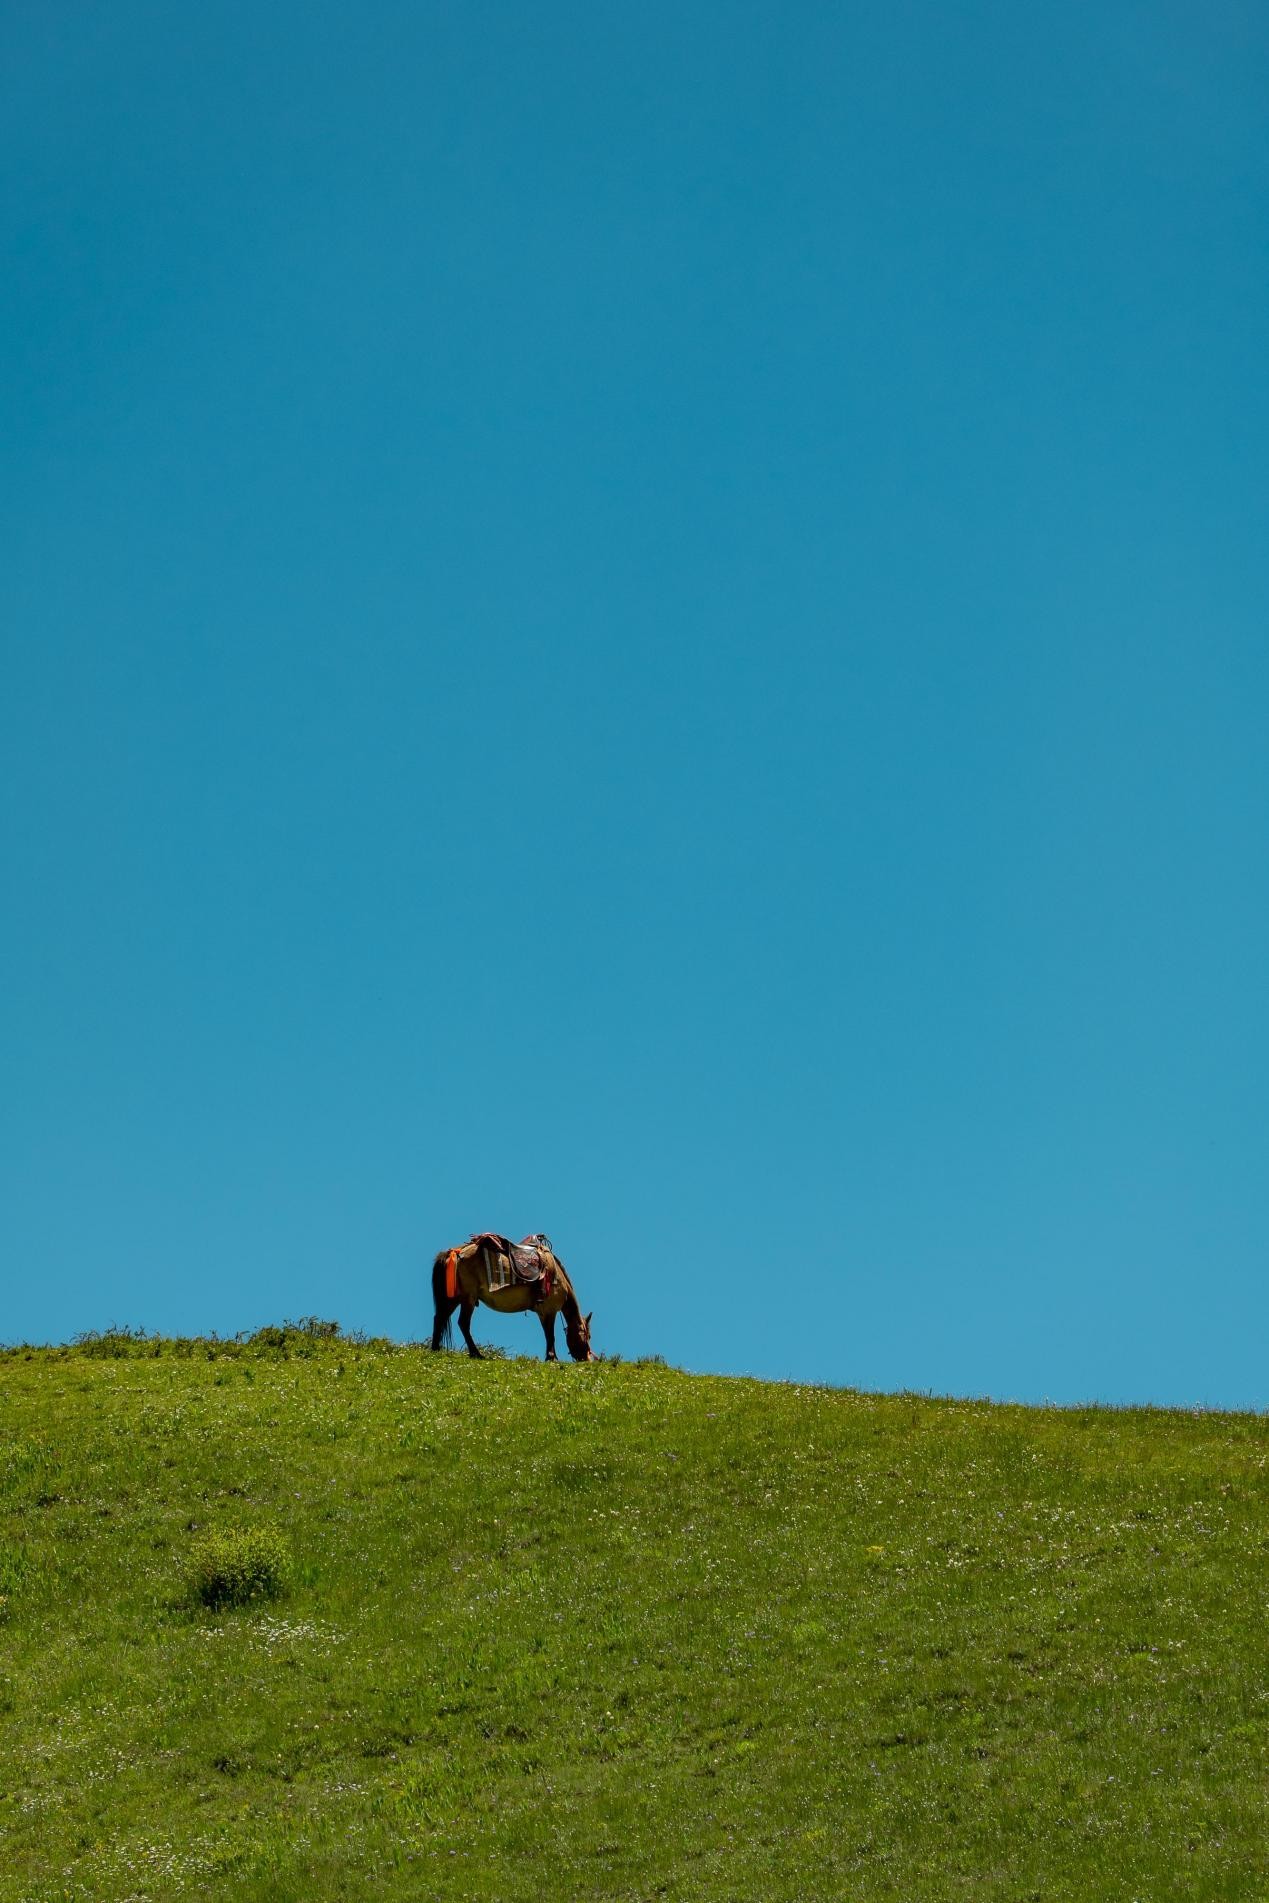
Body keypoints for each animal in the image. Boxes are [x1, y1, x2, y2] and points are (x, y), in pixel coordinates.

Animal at [426, 1240, 597, 1362]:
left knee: (439, 1318)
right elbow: (550, 1335)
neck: (557, 1278)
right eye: (588, 1336)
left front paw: (550, 1357)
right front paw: (552, 1358)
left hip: (455, 1299)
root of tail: (454, 1252)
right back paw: (476, 1353)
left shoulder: (544, 1313)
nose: (587, 1359)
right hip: (468, 1298)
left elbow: (548, 1334)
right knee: (463, 1323)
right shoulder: (549, 1311)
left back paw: (435, 1349)